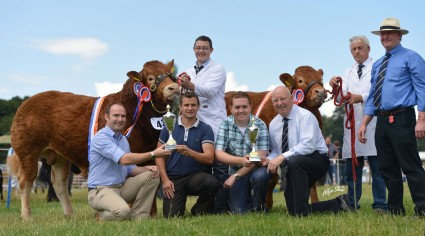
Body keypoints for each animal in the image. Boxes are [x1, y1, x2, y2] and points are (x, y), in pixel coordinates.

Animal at [9, 59, 179, 219]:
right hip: (28, 151)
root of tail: (25, 103)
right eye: (150, 78)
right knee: (25, 182)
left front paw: (152, 214)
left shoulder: (150, 157)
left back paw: (70, 214)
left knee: (59, 184)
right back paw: (27, 216)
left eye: (171, 75)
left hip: (59, 157)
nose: (174, 87)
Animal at [224, 65, 326, 209]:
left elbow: (312, 180)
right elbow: (271, 178)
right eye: (300, 80)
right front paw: (267, 204)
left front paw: (316, 202)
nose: (320, 92)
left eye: (321, 79)